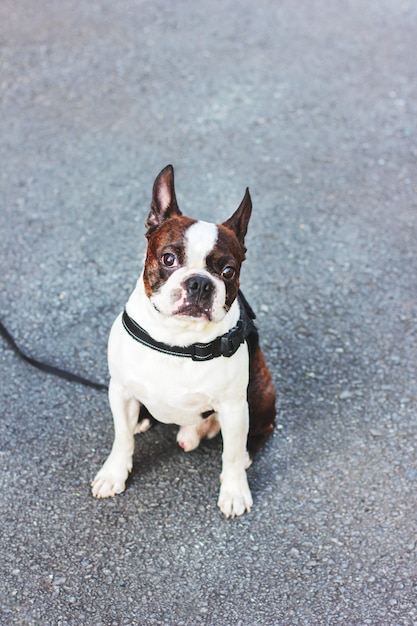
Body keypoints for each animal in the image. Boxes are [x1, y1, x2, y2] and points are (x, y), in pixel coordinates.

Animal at [93, 163, 276, 516]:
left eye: (229, 271)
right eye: (168, 259)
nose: (200, 283)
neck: (177, 339)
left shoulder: (234, 407)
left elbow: (231, 454)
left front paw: (234, 490)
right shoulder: (119, 391)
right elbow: (122, 438)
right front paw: (114, 473)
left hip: (260, 389)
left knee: (258, 431)